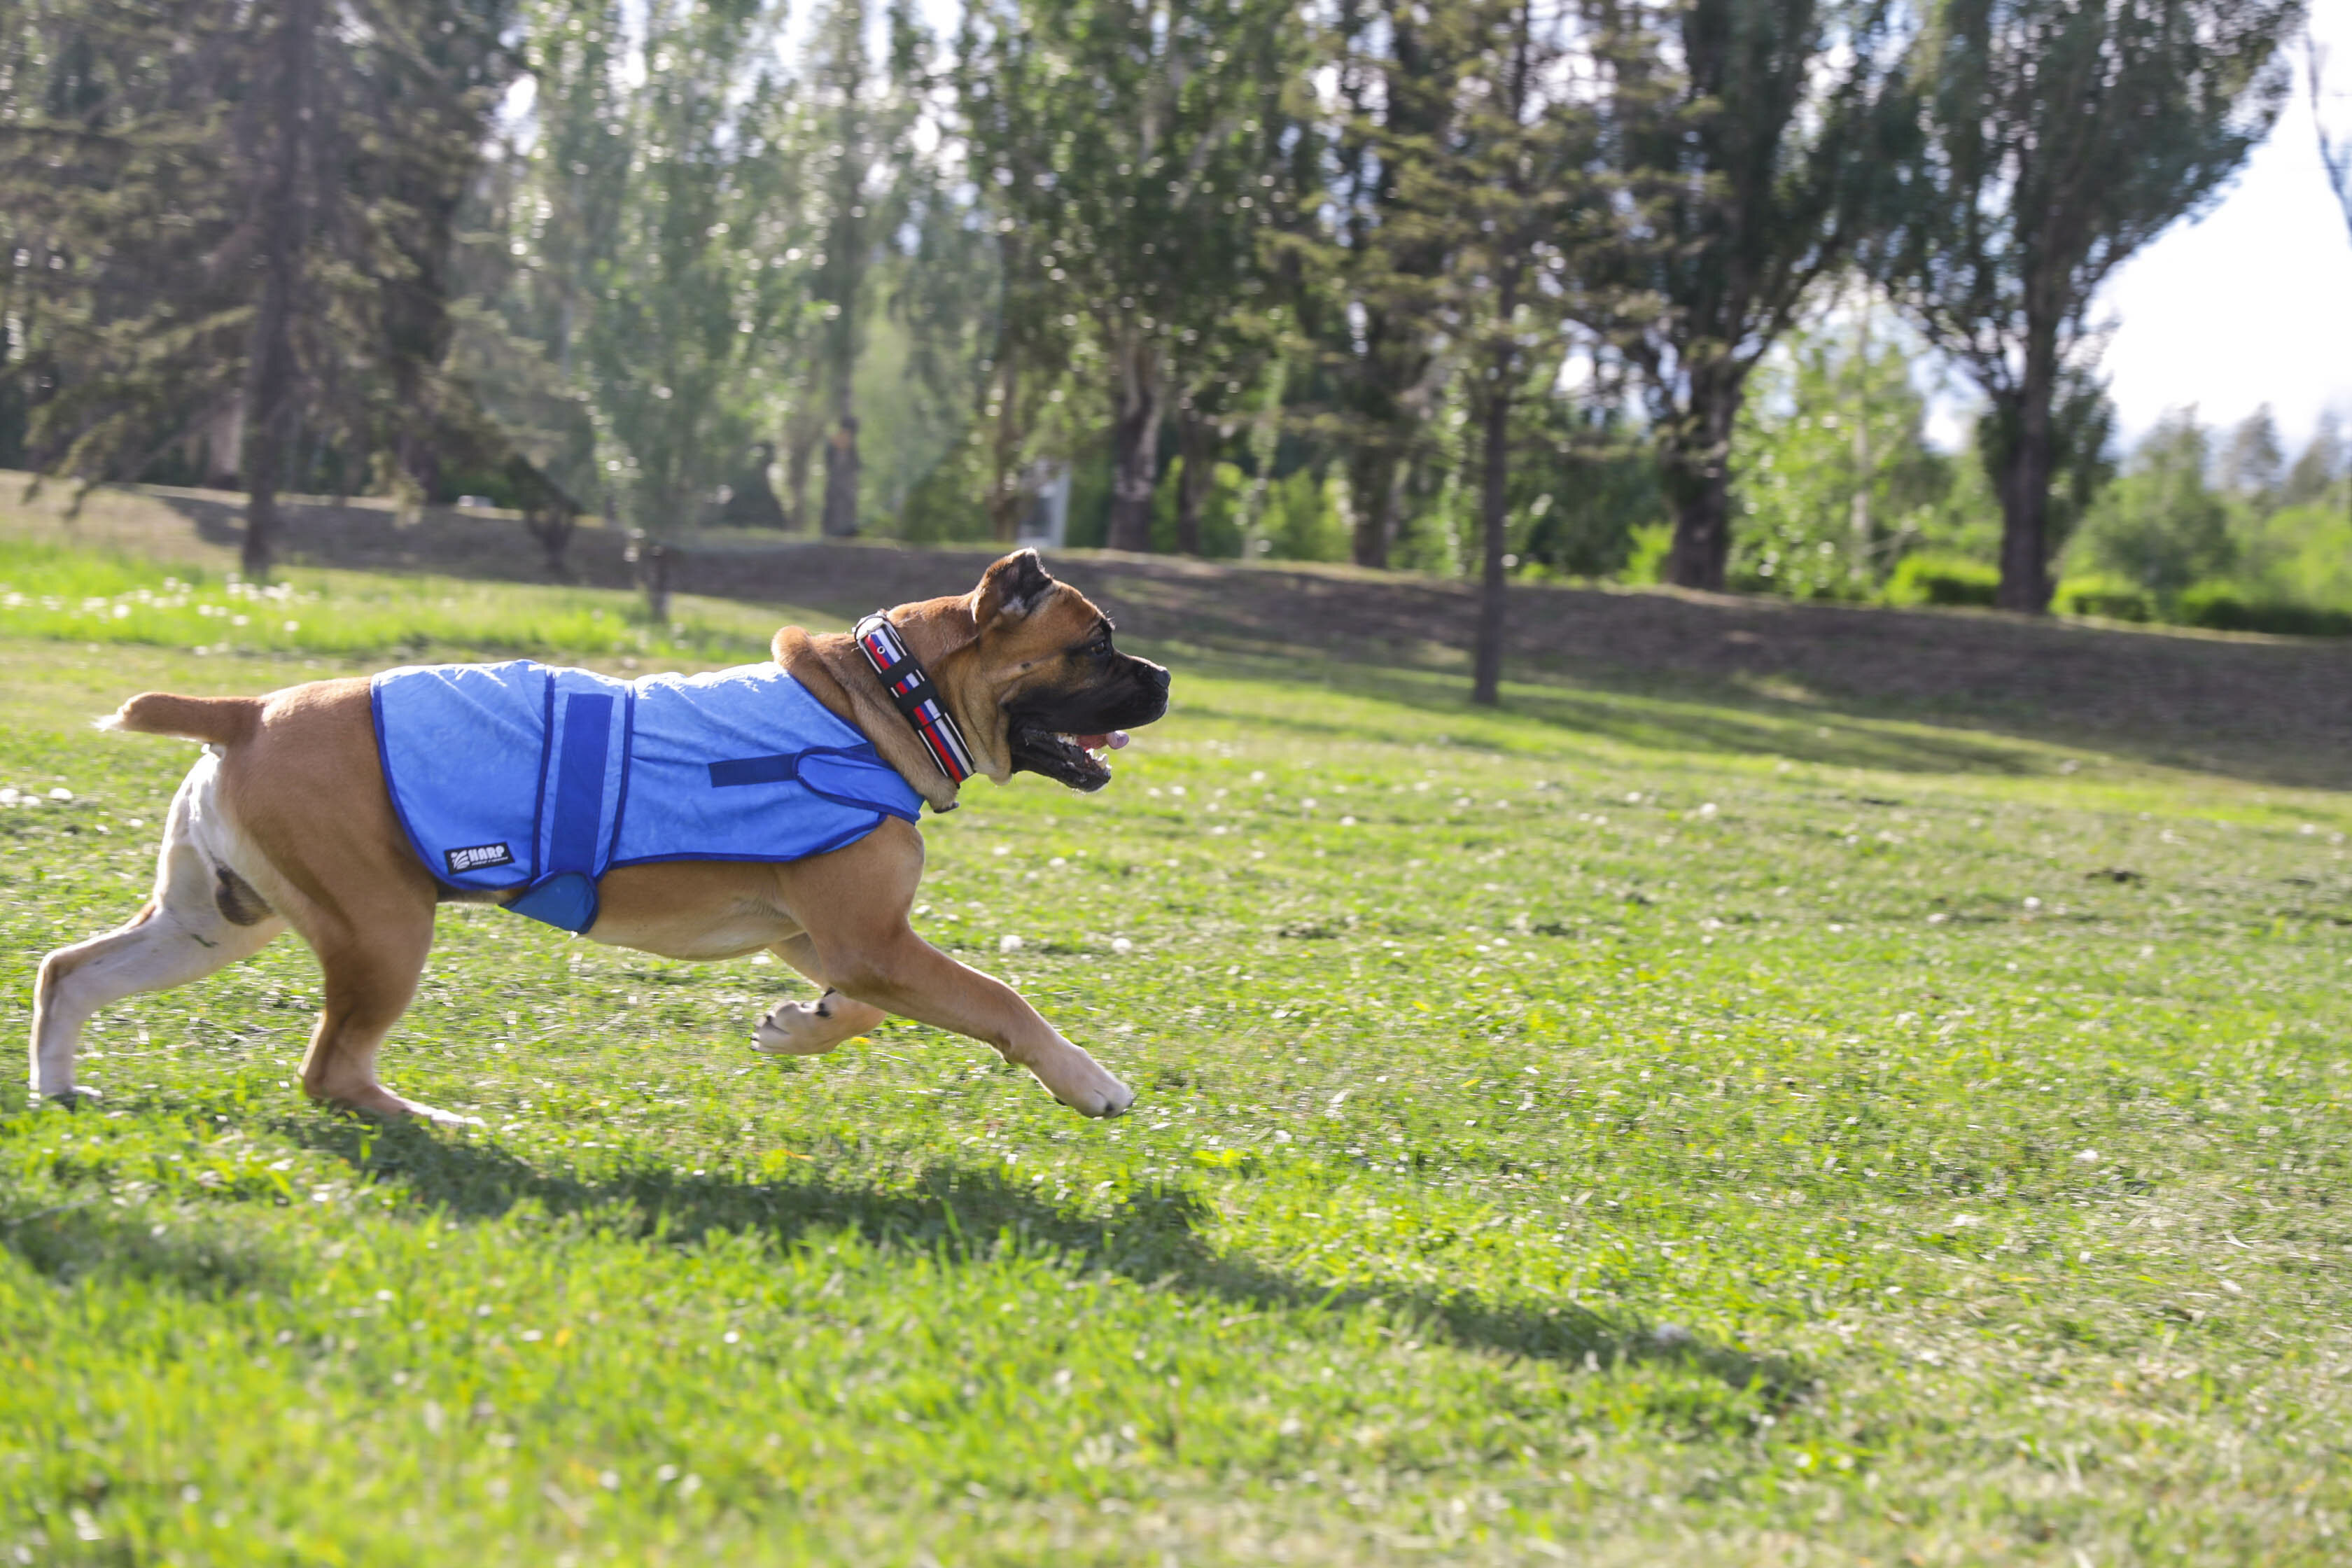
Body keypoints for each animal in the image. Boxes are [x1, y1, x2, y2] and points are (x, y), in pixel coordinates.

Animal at [31, 552, 1171, 1128]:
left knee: (71, 970)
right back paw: (439, 1123)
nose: (1164, 678)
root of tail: (251, 709)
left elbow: (863, 1009)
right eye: (1097, 642)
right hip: (382, 932)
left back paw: (57, 1085)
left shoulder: (829, 940)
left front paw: (795, 1029)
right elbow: (1000, 1000)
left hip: (214, 922)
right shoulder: (872, 941)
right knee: (329, 1072)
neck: (889, 698)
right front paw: (1090, 1082)